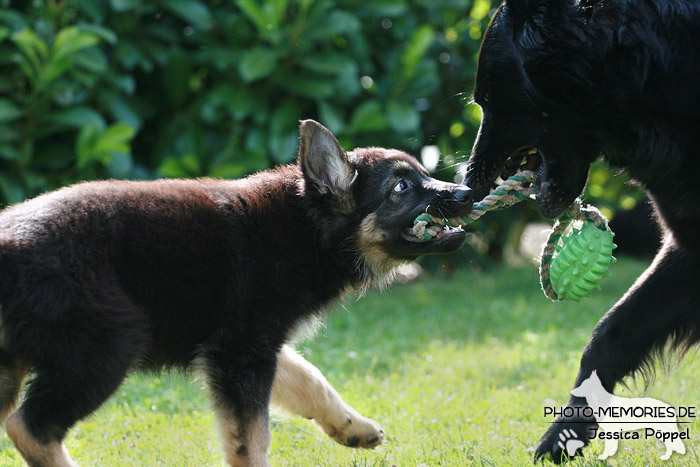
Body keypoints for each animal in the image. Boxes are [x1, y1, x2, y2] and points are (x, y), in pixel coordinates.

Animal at [0, 119, 474, 466]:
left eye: (425, 174)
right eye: (401, 187)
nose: (467, 191)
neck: (305, 226)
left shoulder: (251, 345)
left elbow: (310, 380)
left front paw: (352, 426)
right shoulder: (241, 352)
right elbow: (253, 438)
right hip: (108, 344)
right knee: (29, 427)